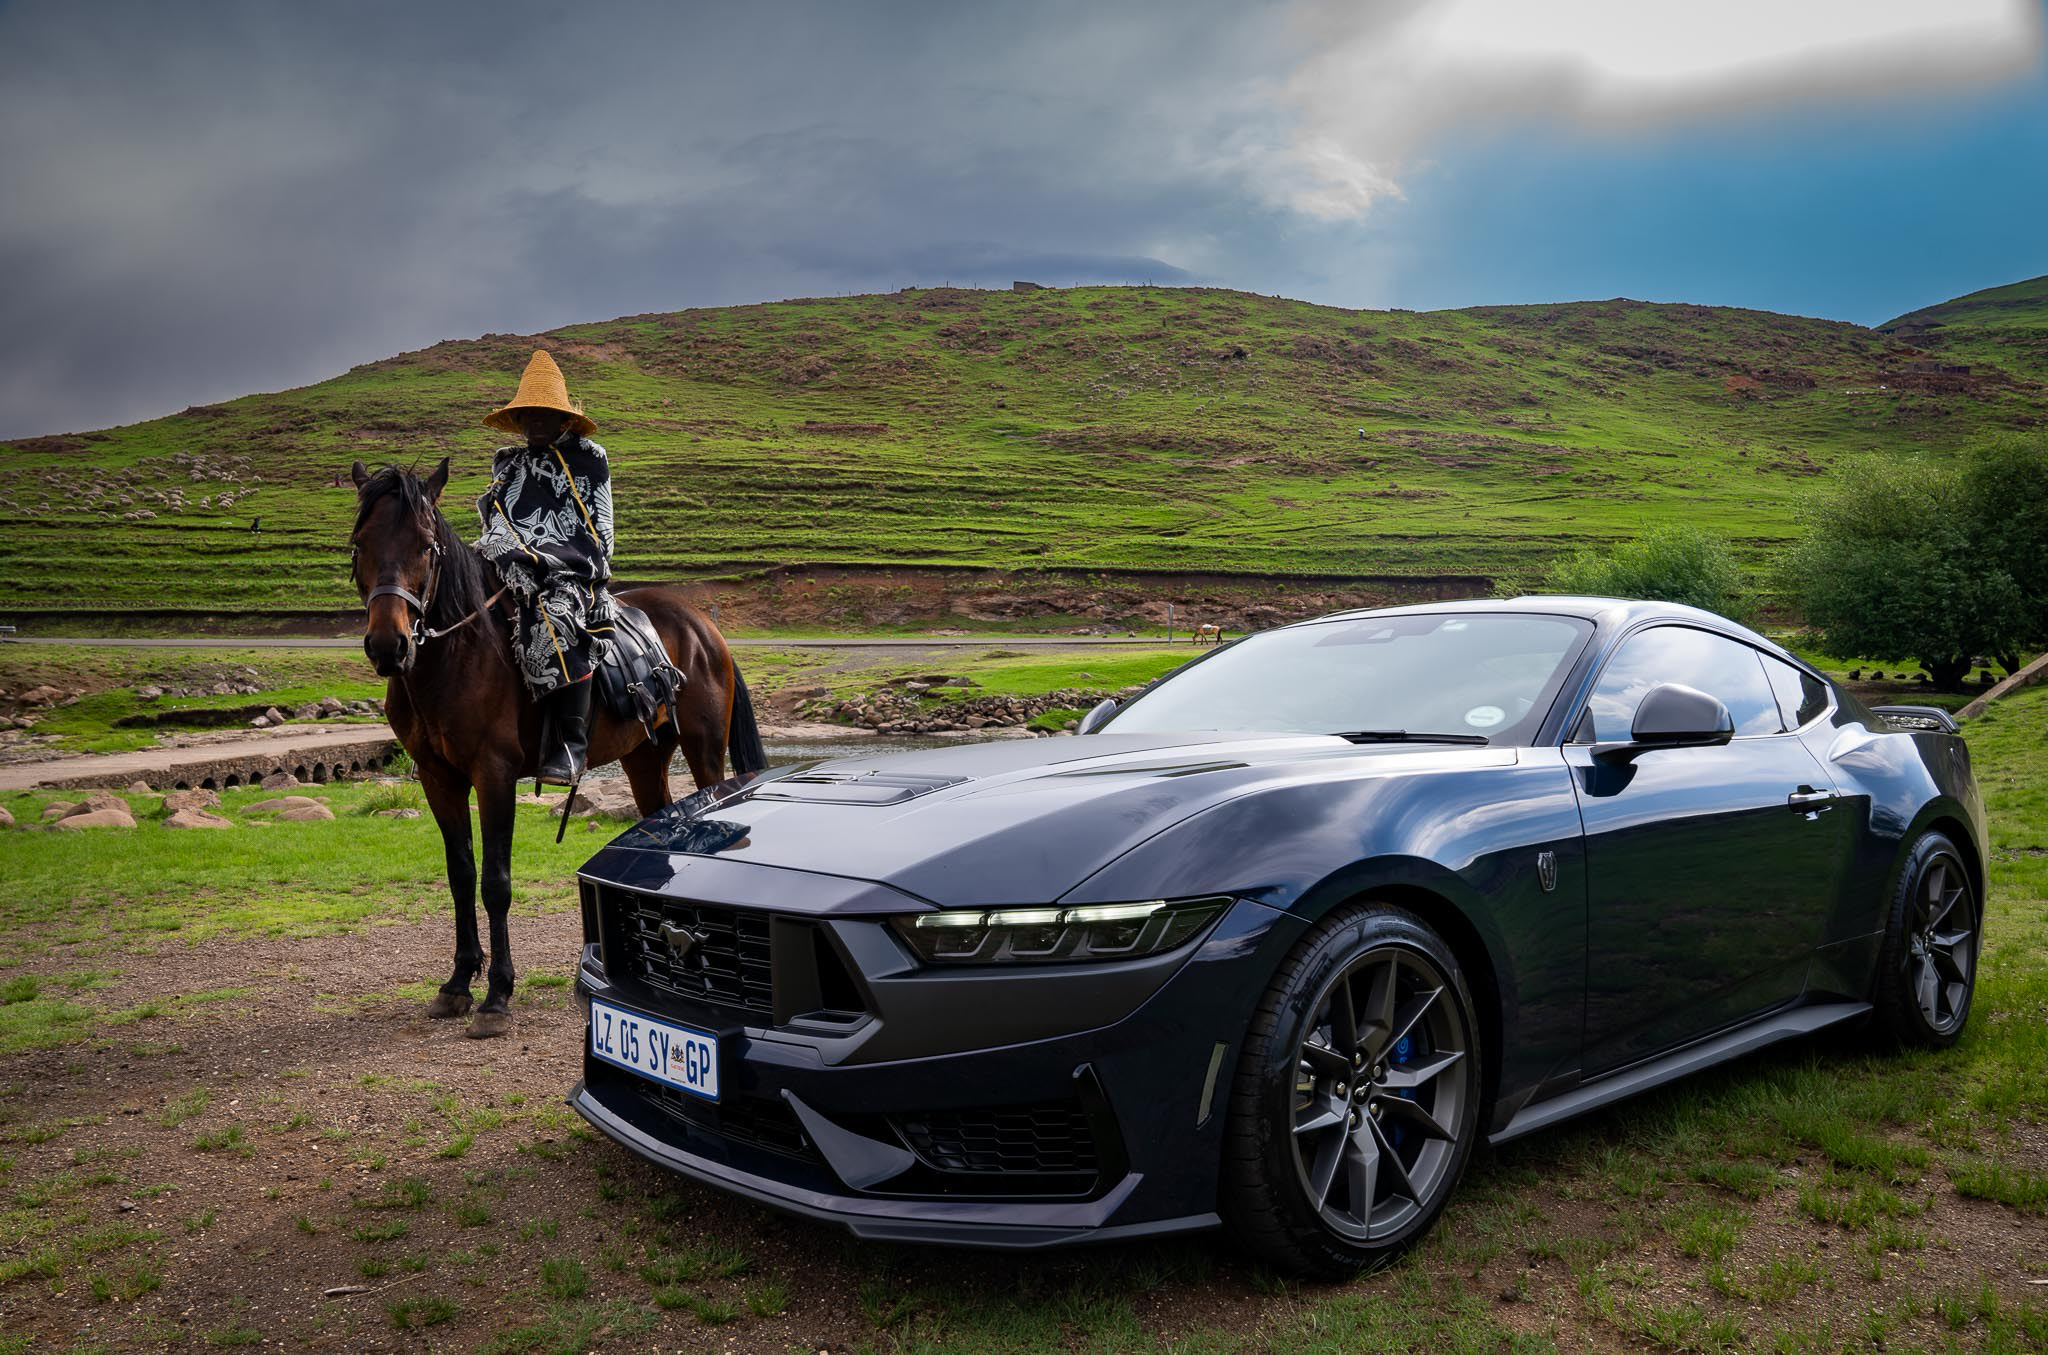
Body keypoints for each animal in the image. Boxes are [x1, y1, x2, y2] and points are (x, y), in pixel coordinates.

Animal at [347, 458, 768, 1038]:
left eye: (425, 545)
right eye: (359, 544)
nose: (389, 646)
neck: (457, 655)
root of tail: (703, 624)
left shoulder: (494, 775)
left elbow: (496, 882)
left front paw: (497, 995)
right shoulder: (438, 778)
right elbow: (461, 875)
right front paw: (457, 984)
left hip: (704, 753)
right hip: (645, 759)